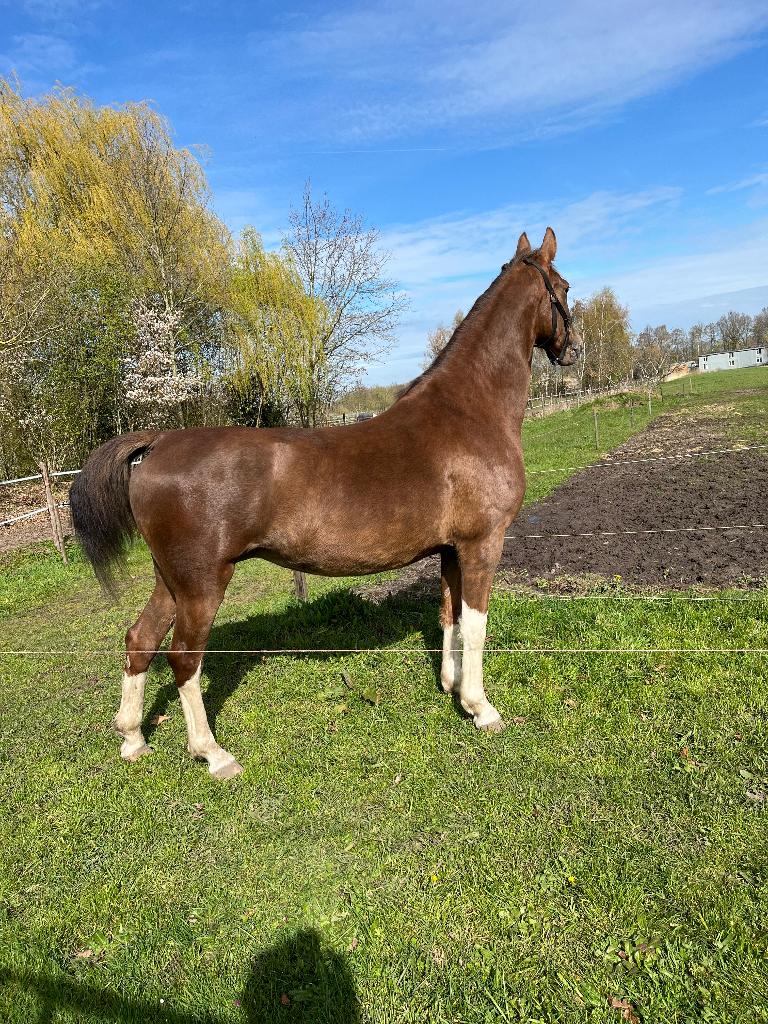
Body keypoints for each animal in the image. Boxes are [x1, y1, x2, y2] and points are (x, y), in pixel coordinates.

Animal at [70, 227, 581, 779]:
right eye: (564, 287)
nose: (575, 349)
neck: (468, 412)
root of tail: (159, 442)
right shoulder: (482, 543)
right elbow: (477, 624)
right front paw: (480, 707)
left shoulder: (450, 549)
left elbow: (449, 614)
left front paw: (450, 687)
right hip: (203, 583)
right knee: (185, 658)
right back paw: (213, 754)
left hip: (171, 580)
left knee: (139, 640)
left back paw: (132, 739)